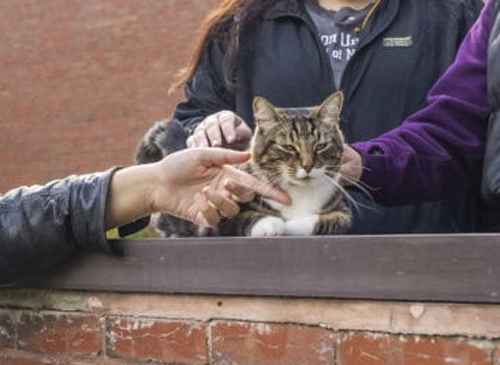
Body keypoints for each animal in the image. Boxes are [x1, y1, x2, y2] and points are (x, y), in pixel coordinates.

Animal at [135, 89, 350, 235]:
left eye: (320, 146)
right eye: (289, 147)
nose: (308, 166)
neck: (298, 193)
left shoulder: (343, 213)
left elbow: (326, 221)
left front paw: (291, 224)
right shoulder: (218, 219)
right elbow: (242, 218)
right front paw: (272, 224)